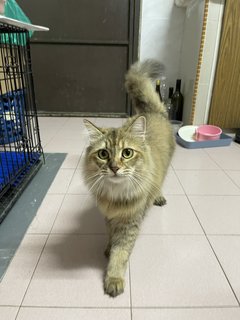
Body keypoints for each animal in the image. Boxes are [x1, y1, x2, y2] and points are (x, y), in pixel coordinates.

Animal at [83, 60, 175, 298]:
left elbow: (121, 252)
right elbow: (110, 237)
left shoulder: (130, 222)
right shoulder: (108, 216)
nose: (114, 168)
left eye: (126, 153)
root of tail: (153, 112)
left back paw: (158, 197)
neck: (116, 195)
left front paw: (114, 279)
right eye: (103, 154)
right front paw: (108, 248)